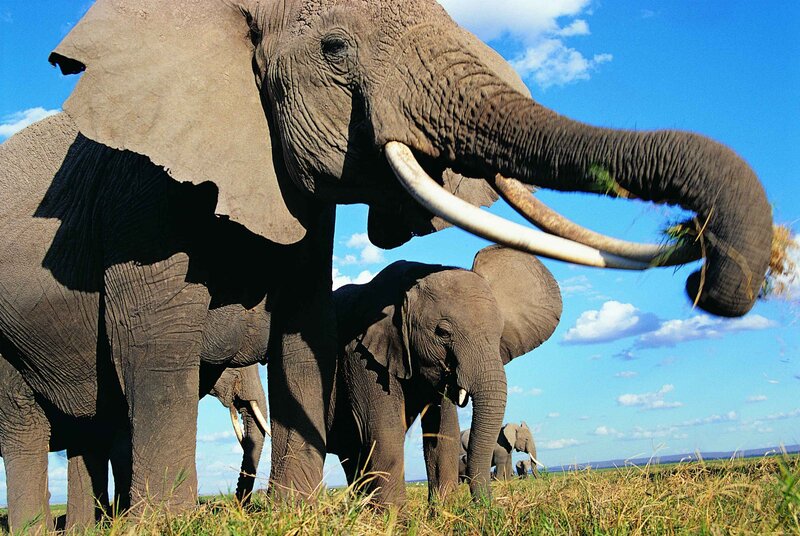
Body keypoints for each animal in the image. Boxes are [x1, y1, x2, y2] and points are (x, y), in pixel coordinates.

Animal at [325, 246, 561, 505]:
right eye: (443, 332)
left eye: (500, 334)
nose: (489, 507)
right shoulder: (359, 354)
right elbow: (384, 431)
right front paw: (396, 517)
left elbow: (444, 435)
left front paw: (444, 511)